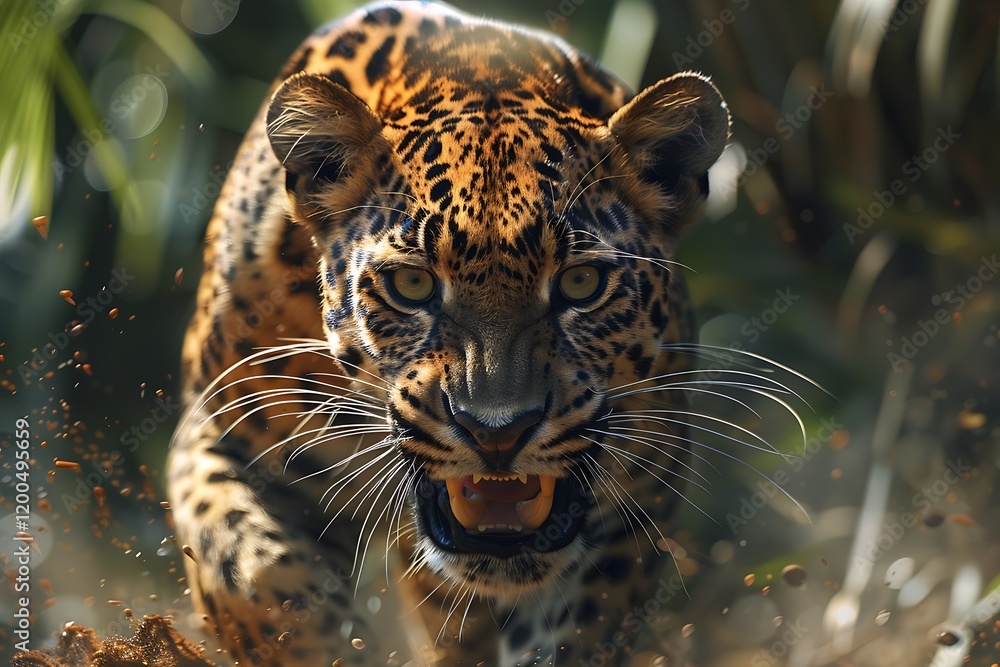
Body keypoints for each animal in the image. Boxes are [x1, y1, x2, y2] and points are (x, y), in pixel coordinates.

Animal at [167, 2, 730, 665]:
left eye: (582, 282)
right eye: (412, 285)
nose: (497, 432)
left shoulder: (644, 489)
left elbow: (583, 626)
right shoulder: (219, 433)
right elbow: (252, 572)